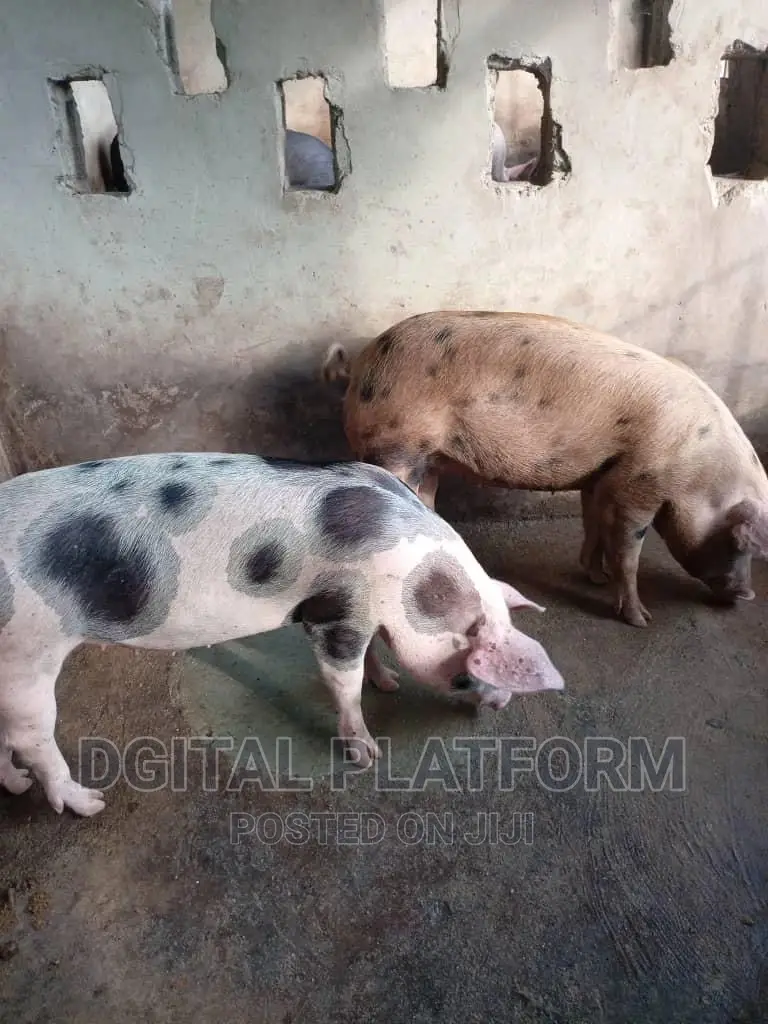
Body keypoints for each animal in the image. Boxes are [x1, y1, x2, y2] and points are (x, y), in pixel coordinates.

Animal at [0, 451, 564, 817]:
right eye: (466, 674)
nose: (500, 703)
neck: (414, 584)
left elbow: (373, 656)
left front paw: (389, 684)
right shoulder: (339, 612)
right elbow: (343, 681)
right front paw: (367, 754)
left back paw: (16, 785)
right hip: (26, 655)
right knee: (32, 739)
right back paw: (91, 804)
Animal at [321, 310, 768, 628]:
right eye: (740, 542)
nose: (748, 596)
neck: (700, 472)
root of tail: (359, 365)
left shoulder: (601, 477)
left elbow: (593, 524)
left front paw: (594, 577)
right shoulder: (640, 485)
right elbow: (628, 551)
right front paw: (641, 620)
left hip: (428, 458)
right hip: (395, 447)